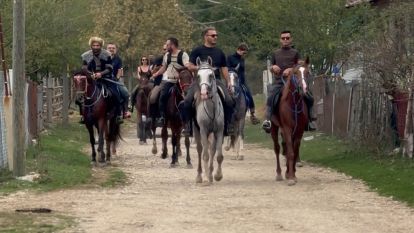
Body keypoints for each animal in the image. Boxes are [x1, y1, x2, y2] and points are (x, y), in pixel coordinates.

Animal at [270, 58, 308, 186]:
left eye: (307, 72)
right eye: (295, 73)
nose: (303, 89)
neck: (294, 104)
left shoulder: (299, 131)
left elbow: (294, 152)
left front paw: (292, 174)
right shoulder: (287, 129)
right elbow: (290, 153)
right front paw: (291, 177)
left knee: (286, 148)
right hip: (274, 127)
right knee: (277, 148)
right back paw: (279, 174)